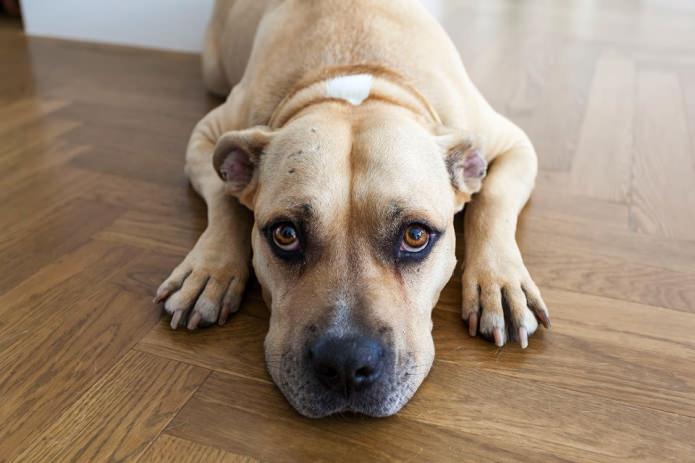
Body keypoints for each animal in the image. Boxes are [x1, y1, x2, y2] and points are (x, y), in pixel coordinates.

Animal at [155, 0, 552, 418]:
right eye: (285, 234)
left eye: (416, 235)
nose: (345, 361)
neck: (356, 79)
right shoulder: (209, 134)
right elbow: (222, 195)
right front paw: (208, 271)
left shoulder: (513, 144)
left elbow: (493, 201)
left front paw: (500, 284)